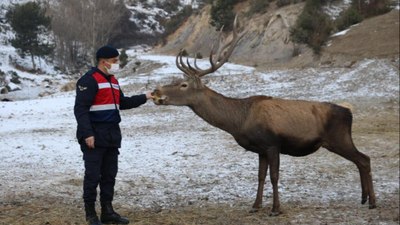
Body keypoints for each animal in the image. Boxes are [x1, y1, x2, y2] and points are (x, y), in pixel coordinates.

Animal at [152, 16, 376, 216]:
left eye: (183, 85)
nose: (156, 91)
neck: (240, 122)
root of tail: (348, 112)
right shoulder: (260, 149)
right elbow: (260, 176)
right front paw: (255, 206)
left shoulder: (272, 143)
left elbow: (274, 176)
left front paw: (275, 209)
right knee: (361, 160)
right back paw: (364, 198)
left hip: (339, 138)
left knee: (364, 159)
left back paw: (372, 202)